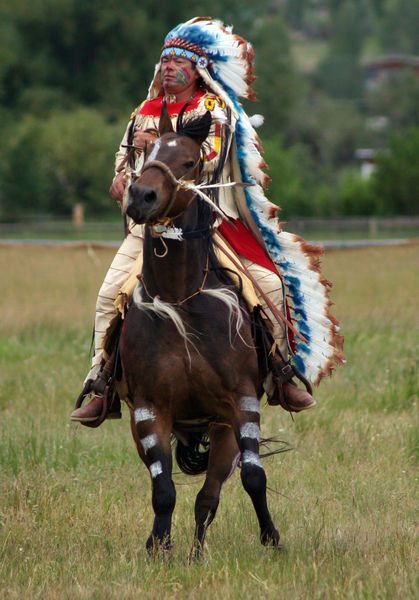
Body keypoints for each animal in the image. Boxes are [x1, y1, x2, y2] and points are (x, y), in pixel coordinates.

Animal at [116, 103, 280, 556]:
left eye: (189, 162)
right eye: (145, 153)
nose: (141, 197)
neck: (180, 299)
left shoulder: (241, 403)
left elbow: (252, 478)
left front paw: (272, 539)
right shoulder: (149, 410)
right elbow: (163, 491)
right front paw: (158, 548)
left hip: (222, 429)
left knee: (210, 495)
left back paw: (196, 554)